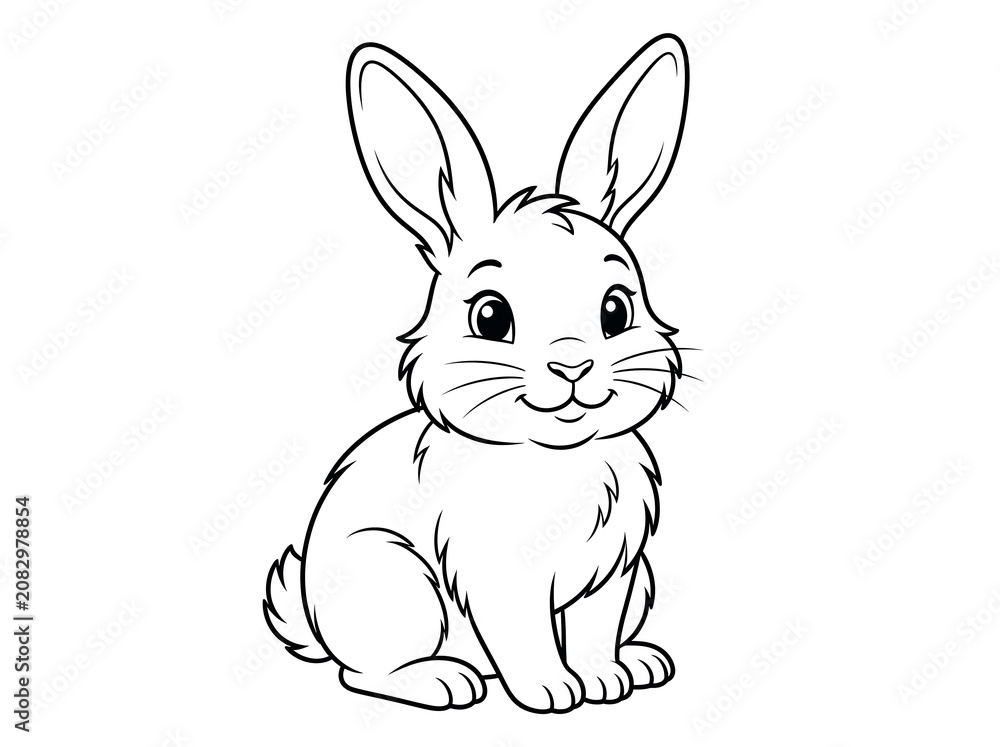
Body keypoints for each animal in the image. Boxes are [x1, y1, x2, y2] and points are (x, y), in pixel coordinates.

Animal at [264, 34, 689, 714]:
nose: (572, 364)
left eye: (616, 310)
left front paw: (606, 682)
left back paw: (642, 662)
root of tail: (313, 619)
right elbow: (525, 638)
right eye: (491, 316)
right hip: (399, 586)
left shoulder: (615, 574)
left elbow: (593, 632)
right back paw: (445, 681)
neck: (550, 456)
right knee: (363, 673)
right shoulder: (498, 580)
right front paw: (552, 693)